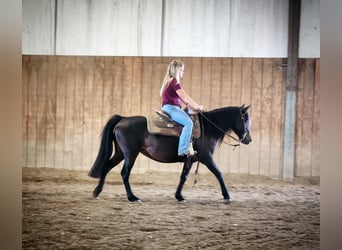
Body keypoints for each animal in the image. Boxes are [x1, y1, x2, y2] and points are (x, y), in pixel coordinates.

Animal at [88, 104, 252, 202]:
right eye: (245, 120)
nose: (248, 139)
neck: (208, 129)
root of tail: (123, 119)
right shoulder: (207, 158)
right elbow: (219, 173)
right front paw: (227, 195)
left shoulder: (190, 160)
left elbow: (184, 176)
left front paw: (179, 196)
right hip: (130, 154)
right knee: (124, 173)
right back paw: (132, 197)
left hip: (120, 153)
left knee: (106, 167)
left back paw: (97, 191)